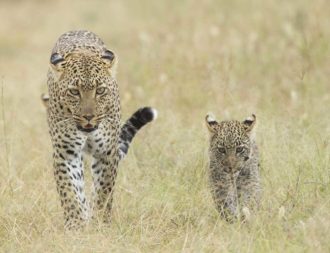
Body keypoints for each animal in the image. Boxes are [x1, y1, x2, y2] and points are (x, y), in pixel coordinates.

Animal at [45, 30, 157, 230]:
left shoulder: (107, 152)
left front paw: (100, 223)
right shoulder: (65, 153)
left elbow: (103, 191)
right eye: (74, 92)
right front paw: (76, 225)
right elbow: (69, 191)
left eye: (100, 90)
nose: (89, 117)